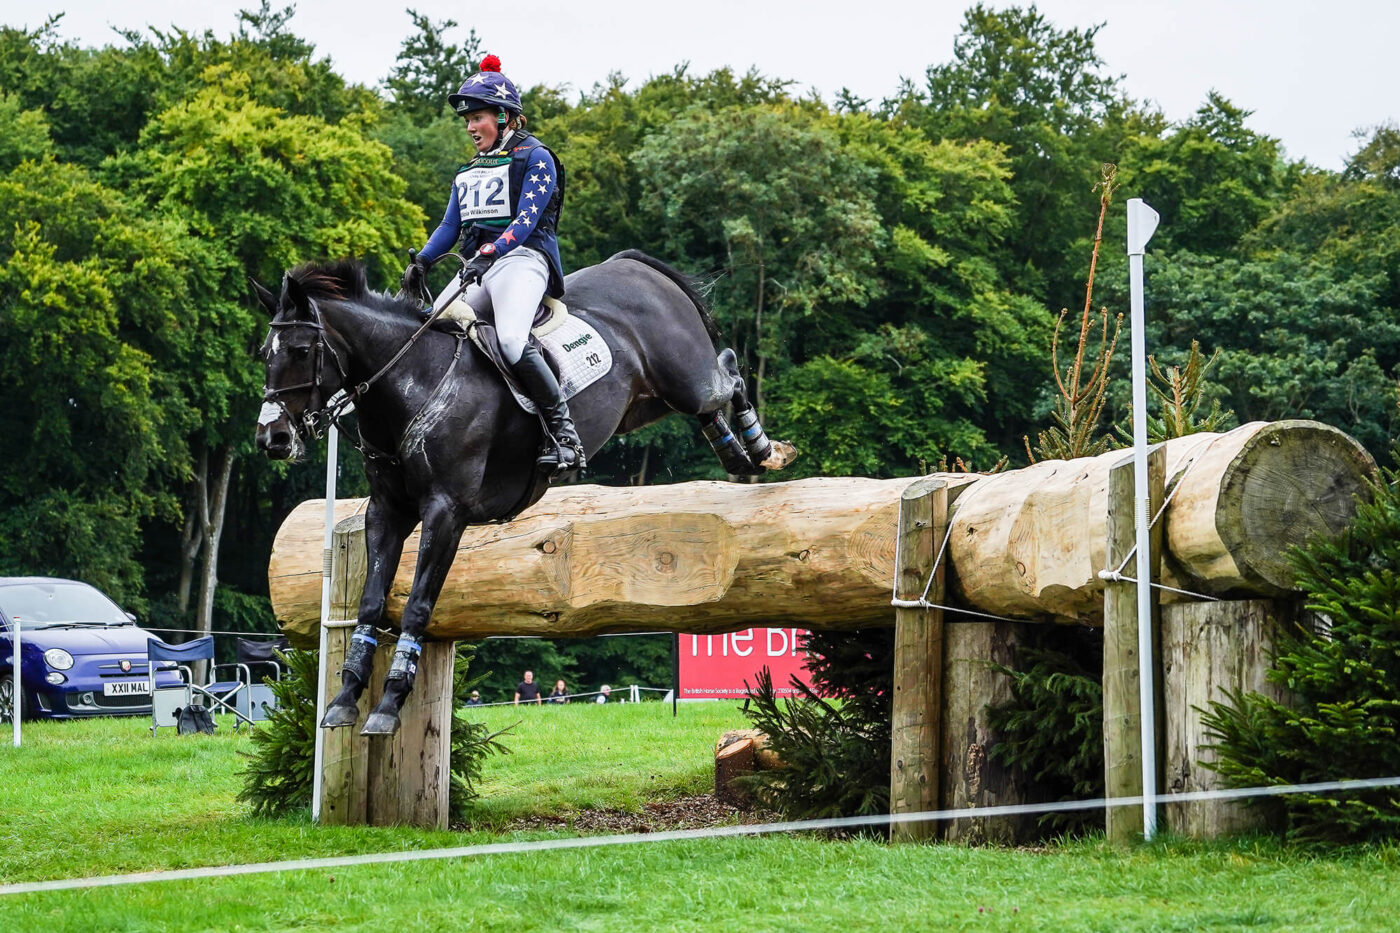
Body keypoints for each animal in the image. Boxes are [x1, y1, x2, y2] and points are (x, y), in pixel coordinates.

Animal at [256, 250, 795, 728]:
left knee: (728, 372)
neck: (413, 380)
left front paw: (388, 705)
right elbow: (369, 603)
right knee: (711, 400)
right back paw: (736, 454)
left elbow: (417, 605)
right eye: (265, 355)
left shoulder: (446, 512)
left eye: (301, 352)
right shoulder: (386, 511)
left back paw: (765, 449)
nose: (272, 439)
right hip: (647, 402)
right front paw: (345, 697)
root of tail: (630, 264)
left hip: (684, 378)